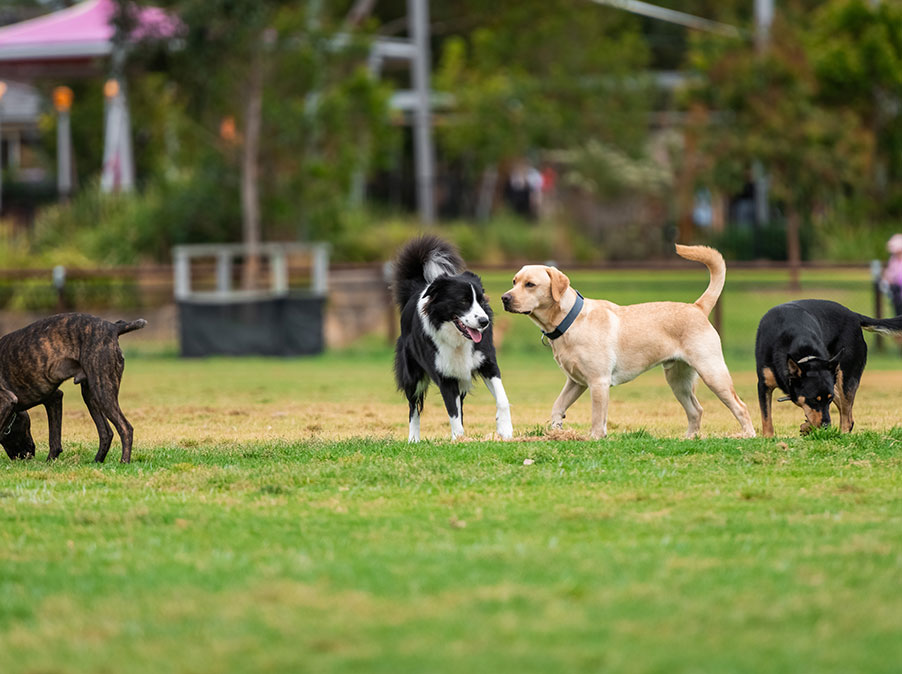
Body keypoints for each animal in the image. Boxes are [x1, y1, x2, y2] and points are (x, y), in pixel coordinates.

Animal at [0, 314, 147, 462]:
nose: (29, 455)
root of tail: (114, 327)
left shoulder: (7, 400)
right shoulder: (54, 398)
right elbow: (54, 440)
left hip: (103, 391)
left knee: (125, 428)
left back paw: (124, 462)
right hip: (91, 396)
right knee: (106, 432)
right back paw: (96, 462)